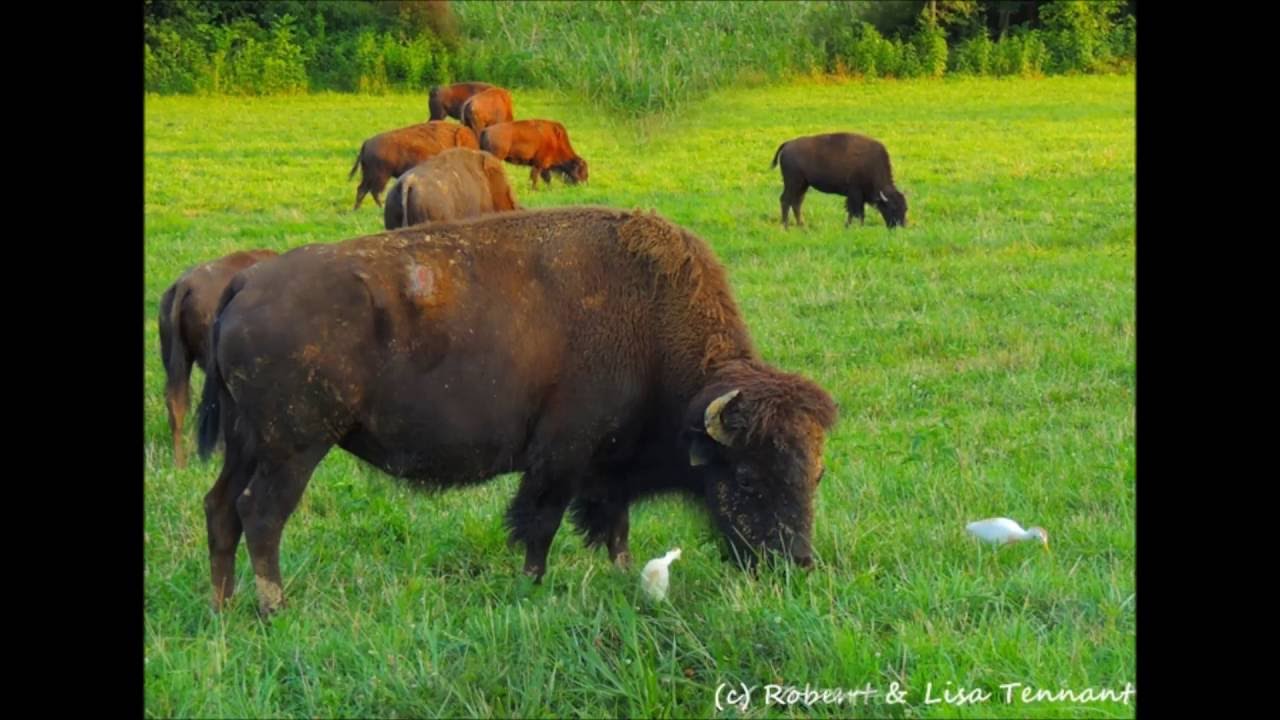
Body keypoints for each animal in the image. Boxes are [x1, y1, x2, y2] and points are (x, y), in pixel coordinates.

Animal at [195, 207, 837, 615]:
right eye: (748, 477)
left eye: (815, 474)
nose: (797, 563)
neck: (650, 322)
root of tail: (247, 283)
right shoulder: (561, 457)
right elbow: (541, 524)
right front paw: (532, 587)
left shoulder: (607, 470)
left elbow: (615, 526)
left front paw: (622, 575)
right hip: (294, 447)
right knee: (262, 514)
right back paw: (274, 609)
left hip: (247, 442)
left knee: (221, 507)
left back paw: (224, 607)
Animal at [349, 122, 480, 210]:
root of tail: (367, 143)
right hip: (380, 176)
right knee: (373, 191)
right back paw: (379, 207)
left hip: (369, 175)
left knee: (362, 189)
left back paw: (358, 209)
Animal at [771, 132, 908, 229]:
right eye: (893, 207)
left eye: (905, 208)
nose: (900, 226)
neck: (871, 163)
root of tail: (788, 143)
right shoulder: (855, 193)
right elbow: (855, 211)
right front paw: (852, 226)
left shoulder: (859, 196)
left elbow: (858, 212)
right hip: (793, 183)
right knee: (785, 200)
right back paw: (786, 227)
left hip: (803, 185)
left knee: (796, 203)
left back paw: (802, 226)